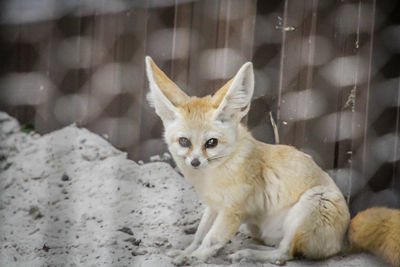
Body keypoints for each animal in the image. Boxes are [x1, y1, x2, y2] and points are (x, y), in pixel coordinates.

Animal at [146, 56, 400, 266]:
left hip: (314, 202)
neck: (211, 177)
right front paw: (188, 251)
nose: (196, 162)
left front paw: (194, 258)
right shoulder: (213, 206)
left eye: (211, 143)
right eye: (184, 141)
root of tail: (344, 237)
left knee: (285, 253)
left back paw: (248, 253)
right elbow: (200, 234)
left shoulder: (232, 211)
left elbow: (211, 239)